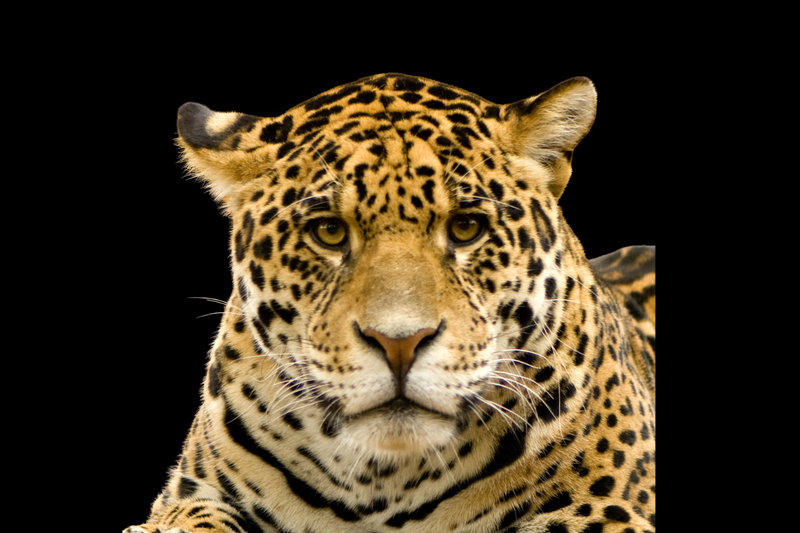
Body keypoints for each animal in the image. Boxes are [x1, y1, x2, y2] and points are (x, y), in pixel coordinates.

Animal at [124, 73, 655, 533]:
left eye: (466, 227)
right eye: (329, 232)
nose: (399, 343)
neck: (384, 482)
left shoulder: (613, 512)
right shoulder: (190, 493)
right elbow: (189, 517)